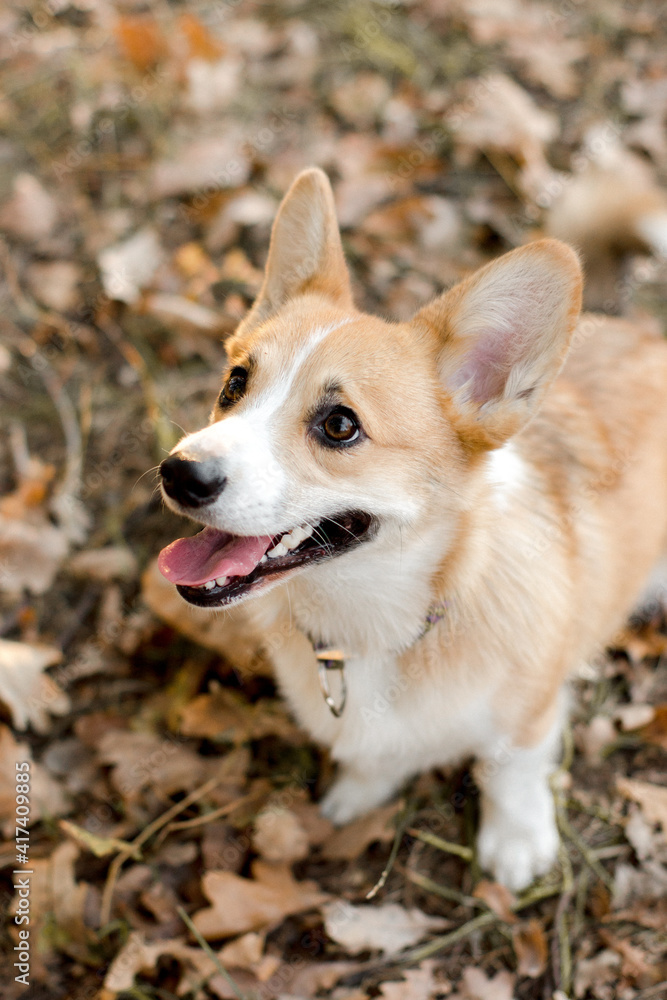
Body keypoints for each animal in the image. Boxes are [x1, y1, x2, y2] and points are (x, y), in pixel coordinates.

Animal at [157, 166, 667, 892]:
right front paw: (358, 792)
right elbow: (374, 758)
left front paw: (516, 843)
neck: (372, 627)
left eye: (339, 425)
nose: (179, 474)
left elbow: (509, 771)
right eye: (235, 383)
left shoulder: (528, 711)